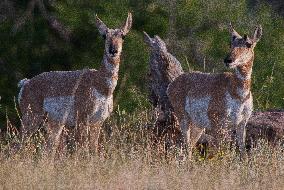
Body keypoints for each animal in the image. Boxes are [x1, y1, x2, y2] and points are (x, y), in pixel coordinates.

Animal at [17, 13, 133, 153]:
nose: (113, 50)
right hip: (32, 118)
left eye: (123, 35)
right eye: (104, 35)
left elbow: (93, 150)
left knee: (49, 148)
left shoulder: (97, 122)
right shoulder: (82, 120)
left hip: (54, 123)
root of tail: (25, 83)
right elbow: (82, 149)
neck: (101, 85)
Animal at [168, 23, 262, 156]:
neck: (239, 94)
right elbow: (220, 151)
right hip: (184, 118)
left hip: (198, 125)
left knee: (188, 145)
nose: (228, 60)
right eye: (230, 44)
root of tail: (172, 84)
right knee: (185, 145)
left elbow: (242, 150)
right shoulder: (217, 124)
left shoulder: (242, 123)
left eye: (248, 44)